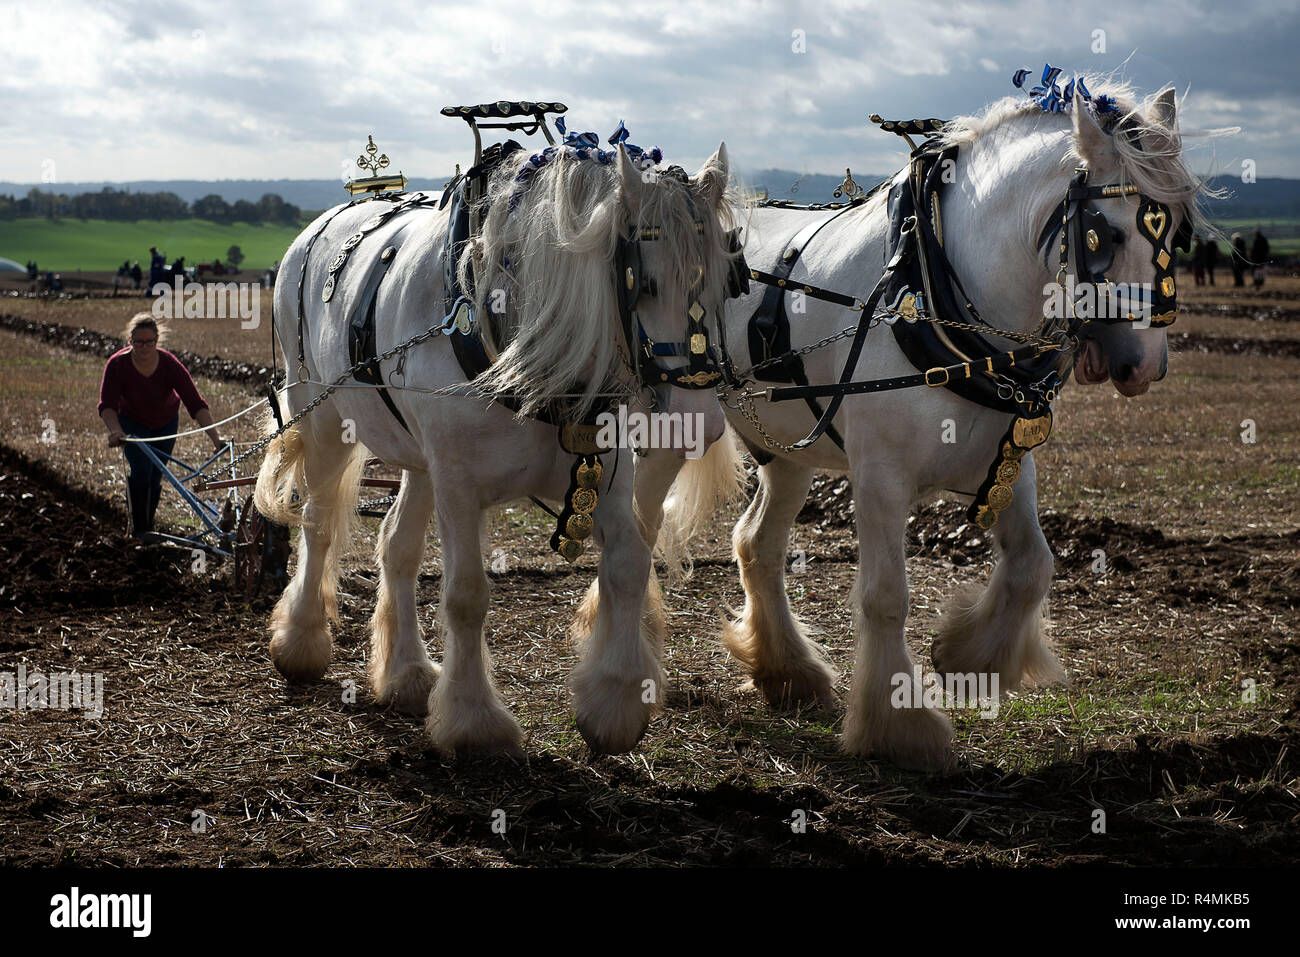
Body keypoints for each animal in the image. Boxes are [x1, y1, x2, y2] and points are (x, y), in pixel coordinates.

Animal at [257, 141, 738, 754]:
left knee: (397, 546)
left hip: (422, 459)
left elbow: (629, 564)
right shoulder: (460, 486)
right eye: (645, 283)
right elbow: (466, 594)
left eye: (726, 285)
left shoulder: (602, 475)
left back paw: (407, 673)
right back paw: (301, 642)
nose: (699, 423)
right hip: (322, 417)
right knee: (318, 525)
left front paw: (615, 701)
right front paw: (474, 721)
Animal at [624, 82, 1201, 769]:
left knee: (756, 545)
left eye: (1179, 230)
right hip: (675, 424)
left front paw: (967, 658)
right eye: (1103, 234)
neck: (936, 290)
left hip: (789, 453)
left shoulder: (1006, 462)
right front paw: (898, 725)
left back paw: (789, 672)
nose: (1144, 365)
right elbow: (885, 596)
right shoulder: (879, 476)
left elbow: (1033, 564)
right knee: (641, 532)